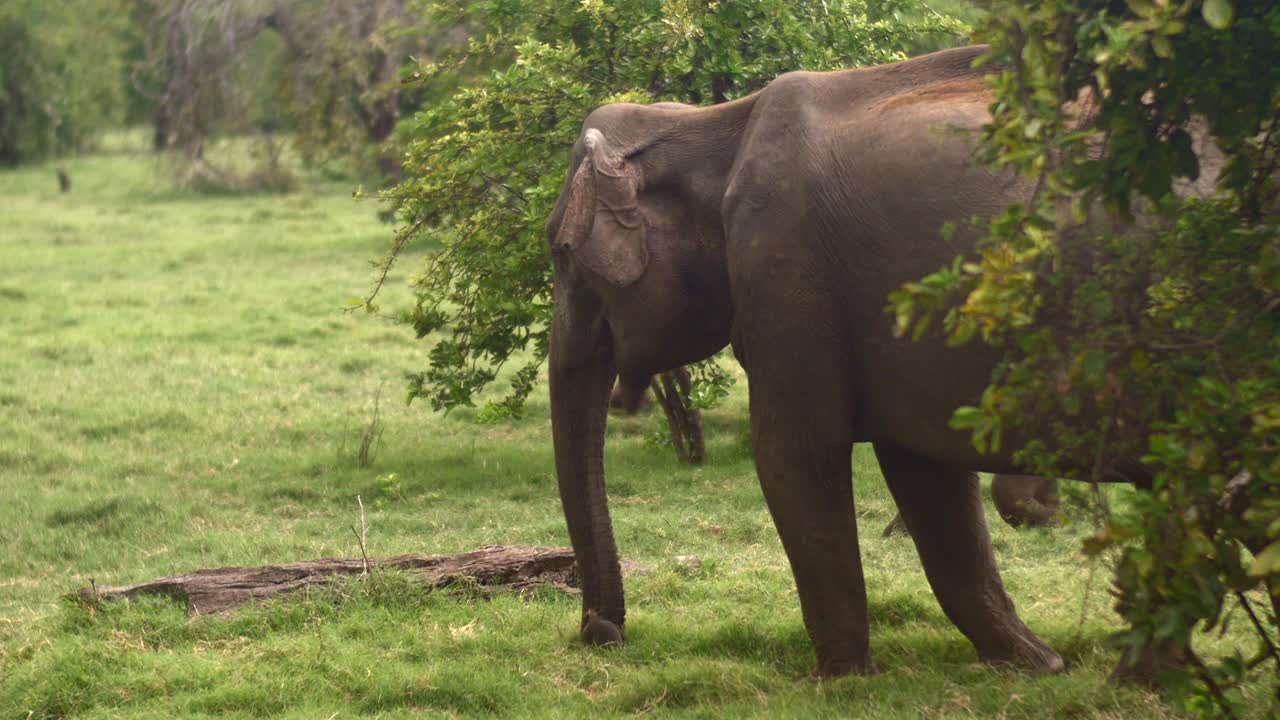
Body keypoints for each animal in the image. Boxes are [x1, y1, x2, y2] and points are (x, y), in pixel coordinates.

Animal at [544, 46, 1223, 678]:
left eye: (563, 253)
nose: (603, 634)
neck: (713, 123)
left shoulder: (786, 267)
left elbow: (796, 455)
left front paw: (841, 679)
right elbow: (927, 477)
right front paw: (1037, 664)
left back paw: (1135, 679)